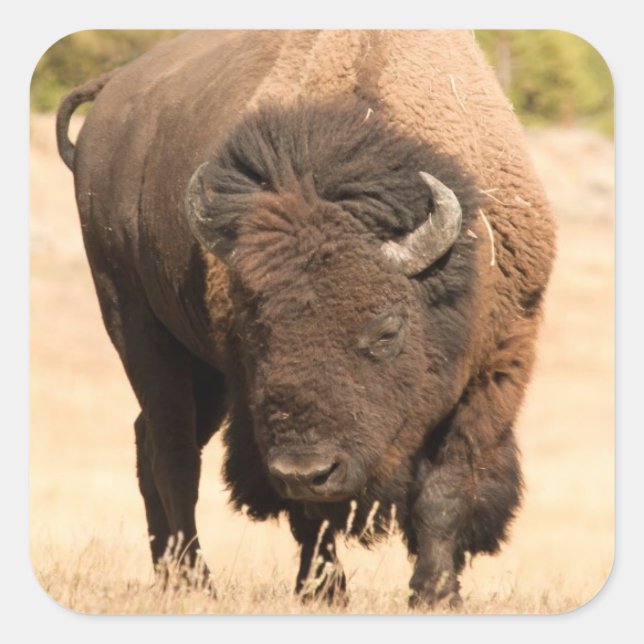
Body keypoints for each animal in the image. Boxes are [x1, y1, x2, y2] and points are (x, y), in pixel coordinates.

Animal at [56, 30, 555, 608]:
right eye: (256, 330)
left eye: (385, 330)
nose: (305, 469)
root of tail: (113, 90)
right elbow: (312, 514)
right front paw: (324, 591)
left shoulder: (494, 371)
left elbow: (445, 490)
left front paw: (435, 594)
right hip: (136, 325)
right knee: (173, 453)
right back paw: (194, 581)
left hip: (202, 373)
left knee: (150, 442)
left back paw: (170, 575)